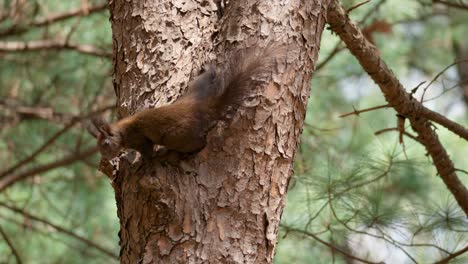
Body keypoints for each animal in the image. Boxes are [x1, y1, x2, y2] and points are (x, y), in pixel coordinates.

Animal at [89, 45, 284, 161]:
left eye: (106, 145)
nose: (106, 158)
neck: (123, 130)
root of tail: (203, 108)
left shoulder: (140, 140)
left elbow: (147, 154)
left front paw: (138, 164)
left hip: (179, 136)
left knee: (198, 143)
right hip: (197, 88)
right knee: (207, 78)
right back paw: (209, 68)